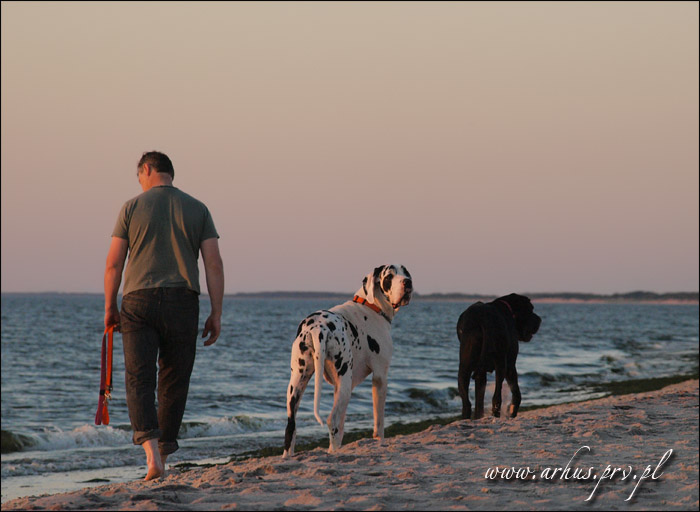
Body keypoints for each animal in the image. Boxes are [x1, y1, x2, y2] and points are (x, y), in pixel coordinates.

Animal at [282, 264, 413, 457]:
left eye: (405, 272)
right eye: (389, 276)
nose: (407, 282)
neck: (371, 305)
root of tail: (318, 327)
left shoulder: (339, 387)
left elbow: (342, 427)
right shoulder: (380, 377)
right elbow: (379, 423)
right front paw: (380, 442)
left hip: (297, 384)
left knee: (291, 426)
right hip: (343, 381)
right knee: (332, 419)